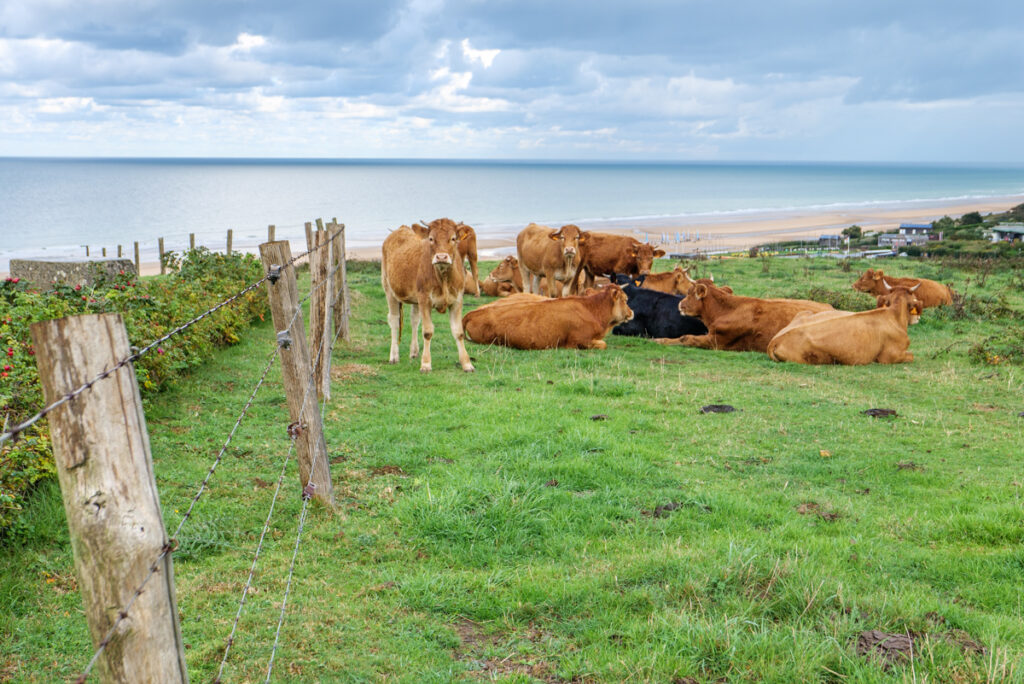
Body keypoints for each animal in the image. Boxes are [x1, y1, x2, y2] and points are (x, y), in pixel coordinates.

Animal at [382, 219, 473, 374]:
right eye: (431, 239)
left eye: (453, 238)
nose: (441, 257)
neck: (443, 278)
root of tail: (401, 229)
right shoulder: (425, 300)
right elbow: (427, 331)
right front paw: (425, 364)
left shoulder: (457, 300)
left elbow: (459, 332)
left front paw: (467, 364)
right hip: (389, 290)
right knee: (394, 320)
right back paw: (394, 356)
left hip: (415, 298)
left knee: (414, 320)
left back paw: (414, 352)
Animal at [464, 284, 630, 350]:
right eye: (625, 299)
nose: (631, 312)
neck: (590, 308)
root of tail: (472, 313)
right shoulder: (579, 341)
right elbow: (603, 344)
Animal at [655, 278, 831, 352]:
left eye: (690, 293)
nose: (680, 304)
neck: (726, 310)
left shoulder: (717, 341)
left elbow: (686, 338)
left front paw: (659, 340)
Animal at [770, 286, 925, 366]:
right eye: (915, 300)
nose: (917, 318)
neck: (894, 316)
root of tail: (775, 340)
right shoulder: (888, 357)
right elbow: (912, 356)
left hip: (804, 313)